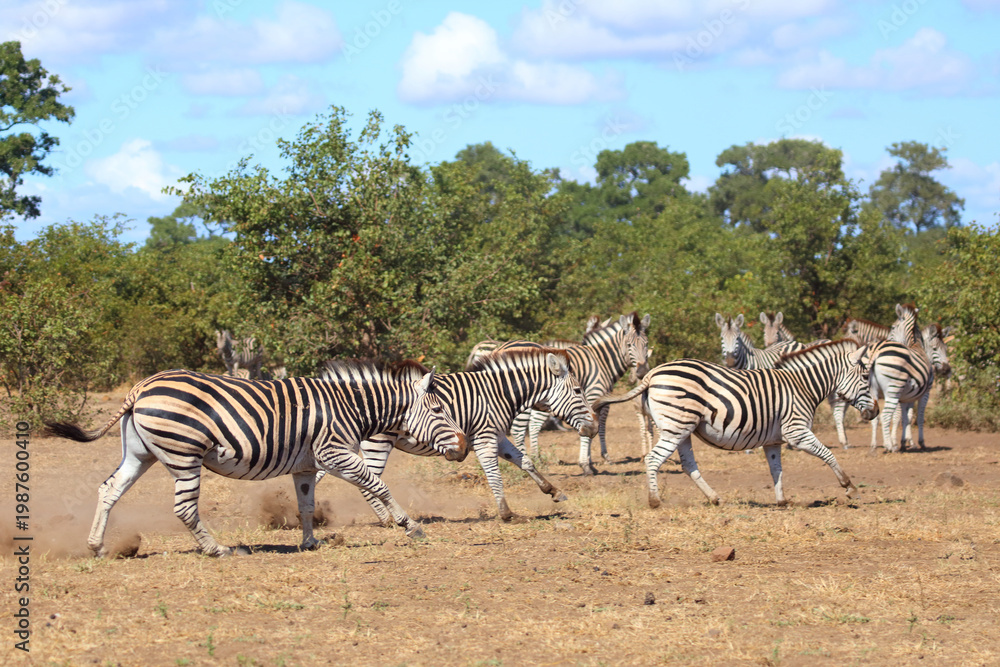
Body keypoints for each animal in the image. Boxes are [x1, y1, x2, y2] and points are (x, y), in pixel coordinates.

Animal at [45, 363, 468, 557]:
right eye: (438, 411)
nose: (463, 446)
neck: (349, 407)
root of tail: (140, 388)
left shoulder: (306, 464)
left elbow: (306, 504)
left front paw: (310, 542)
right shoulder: (334, 454)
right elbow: (379, 485)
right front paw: (411, 527)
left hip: (140, 453)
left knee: (108, 490)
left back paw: (97, 546)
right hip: (184, 455)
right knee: (184, 508)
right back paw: (217, 550)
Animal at [318, 347, 599, 522]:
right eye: (577, 391)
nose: (595, 428)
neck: (498, 393)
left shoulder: (497, 436)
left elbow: (525, 461)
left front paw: (553, 491)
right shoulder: (485, 438)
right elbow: (494, 475)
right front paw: (507, 514)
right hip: (376, 443)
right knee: (367, 482)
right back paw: (387, 519)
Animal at [505, 313, 651, 475]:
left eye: (646, 344)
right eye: (629, 345)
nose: (642, 372)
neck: (602, 360)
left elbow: (592, 428)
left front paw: (590, 462)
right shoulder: (595, 395)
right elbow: (599, 427)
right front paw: (590, 463)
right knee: (518, 429)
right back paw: (525, 462)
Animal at [593, 340, 878, 507]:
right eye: (865, 376)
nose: (875, 411)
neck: (803, 386)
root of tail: (652, 373)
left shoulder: (773, 439)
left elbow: (777, 469)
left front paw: (782, 500)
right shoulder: (796, 431)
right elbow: (828, 455)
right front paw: (850, 488)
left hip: (682, 428)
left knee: (688, 465)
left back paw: (714, 498)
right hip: (676, 426)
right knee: (653, 459)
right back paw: (655, 501)